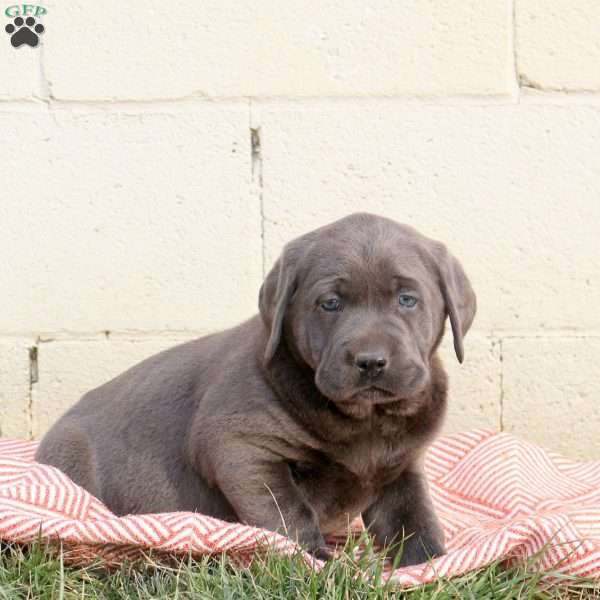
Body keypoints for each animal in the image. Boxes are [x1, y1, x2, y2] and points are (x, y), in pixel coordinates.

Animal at [36, 213, 478, 564]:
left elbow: (412, 518)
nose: (370, 361)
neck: (365, 420)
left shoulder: (401, 464)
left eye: (407, 300)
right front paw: (317, 559)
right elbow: (285, 510)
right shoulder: (240, 446)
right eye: (330, 303)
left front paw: (431, 564)